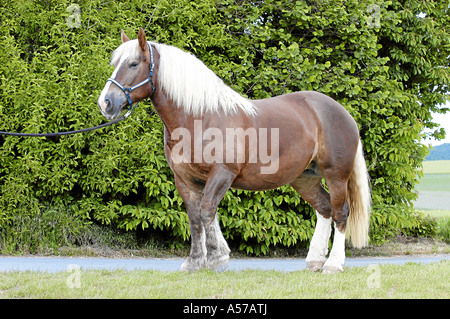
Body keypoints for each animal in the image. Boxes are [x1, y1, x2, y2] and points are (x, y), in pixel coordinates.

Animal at [99, 28, 372, 276]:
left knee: (340, 212)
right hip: (305, 178)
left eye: (134, 63)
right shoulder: (185, 179)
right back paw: (315, 261)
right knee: (324, 209)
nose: (106, 103)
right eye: (114, 64)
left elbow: (207, 210)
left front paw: (217, 258)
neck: (200, 118)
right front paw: (195, 262)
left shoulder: (222, 174)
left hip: (336, 176)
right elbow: (195, 218)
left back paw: (333, 265)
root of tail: (342, 112)